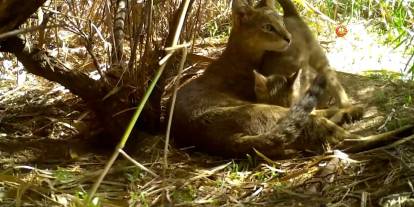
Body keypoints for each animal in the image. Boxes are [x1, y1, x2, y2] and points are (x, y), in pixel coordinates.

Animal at [171, 0, 410, 158]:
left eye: (281, 23)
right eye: (267, 27)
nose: (288, 37)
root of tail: (226, 140)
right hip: (276, 111)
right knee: (338, 136)